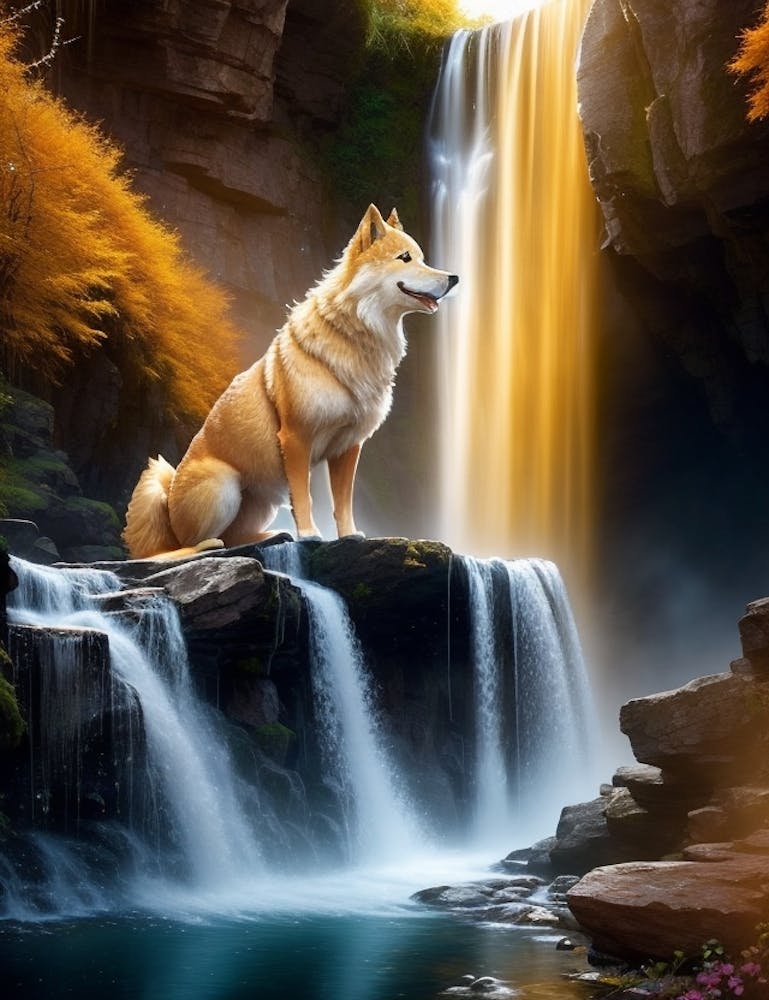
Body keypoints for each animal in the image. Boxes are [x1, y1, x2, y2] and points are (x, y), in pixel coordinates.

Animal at [122, 204, 458, 559]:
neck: (355, 339)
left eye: (422, 258)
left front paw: (350, 535)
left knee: (236, 536)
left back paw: (273, 534)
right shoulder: (296, 438)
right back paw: (207, 544)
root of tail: (168, 499)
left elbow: (343, 501)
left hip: (262, 501)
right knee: (185, 544)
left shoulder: (348, 447)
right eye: (404, 258)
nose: (454, 278)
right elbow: (304, 495)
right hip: (224, 484)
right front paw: (310, 535)